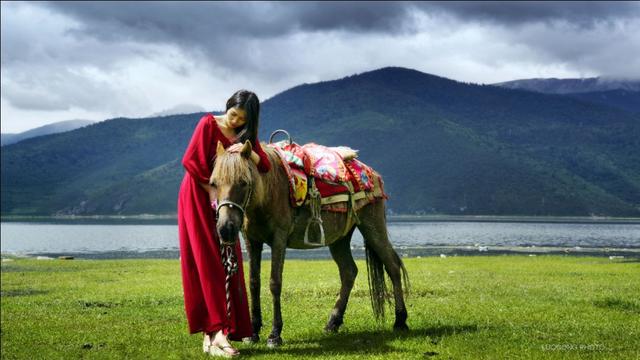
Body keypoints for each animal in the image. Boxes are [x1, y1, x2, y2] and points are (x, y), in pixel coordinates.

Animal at [211, 139, 410, 348]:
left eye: (243, 182)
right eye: (214, 183)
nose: (225, 228)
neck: (268, 191)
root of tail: (372, 174)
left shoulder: (279, 239)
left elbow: (275, 282)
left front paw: (275, 334)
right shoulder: (252, 240)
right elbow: (253, 283)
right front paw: (254, 332)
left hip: (372, 227)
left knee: (392, 266)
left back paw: (400, 320)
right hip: (340, 239)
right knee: (349, 272)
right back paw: (333, 322)